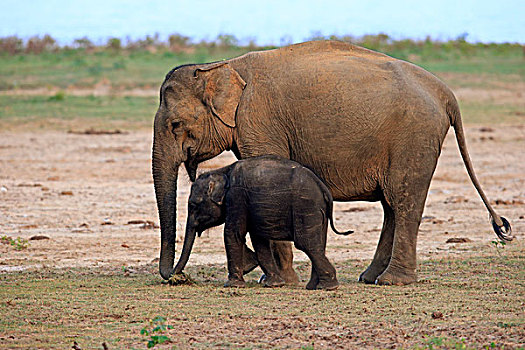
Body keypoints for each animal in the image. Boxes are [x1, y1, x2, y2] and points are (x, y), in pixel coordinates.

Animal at [173, 156, 352, 290]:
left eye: (193, 205)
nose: (176, 277)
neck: (222, 171)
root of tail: (324, 189)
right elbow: (259, 239)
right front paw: (273, 284)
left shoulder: (237, 196)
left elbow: (232, 233)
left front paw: (232, 285)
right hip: (317, 212)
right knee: (318, 244)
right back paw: (314, 286)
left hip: (305, 207)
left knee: (307, 244)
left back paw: (327, 287)